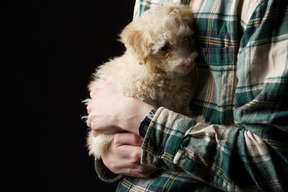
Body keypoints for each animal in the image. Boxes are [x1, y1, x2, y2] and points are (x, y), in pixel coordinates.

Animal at [84, 4, 199, 160]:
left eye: (185, 39)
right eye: (164, 48)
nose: (188, 63)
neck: (158, 71)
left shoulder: (177, 99)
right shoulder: (133, 88)